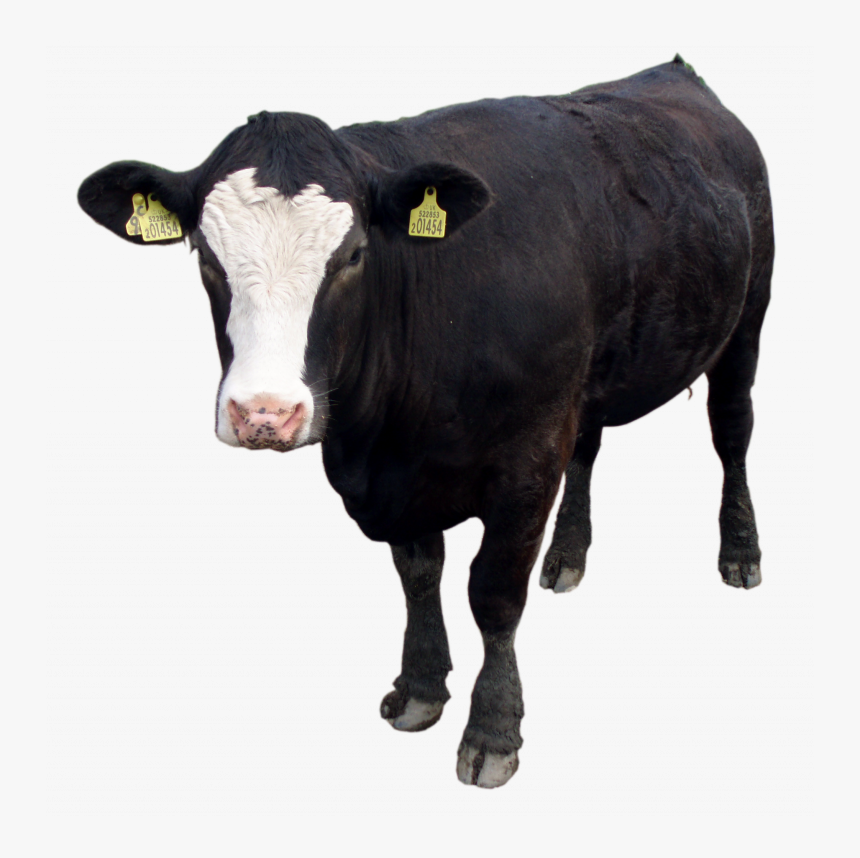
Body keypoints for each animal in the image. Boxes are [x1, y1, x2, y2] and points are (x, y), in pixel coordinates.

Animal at [78, 56, 773, 788]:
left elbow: (492, 593)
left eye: (355, 254)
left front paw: (493, 730)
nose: (264, 412)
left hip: (748, 316)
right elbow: (418, 575)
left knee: (732, 431)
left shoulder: (527, 459)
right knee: (589, 445)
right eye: (206, 257)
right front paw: (419, 689)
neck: (384, 436)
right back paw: (568, 555)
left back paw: (740, 552)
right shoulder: (402, 476)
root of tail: (673, 73)